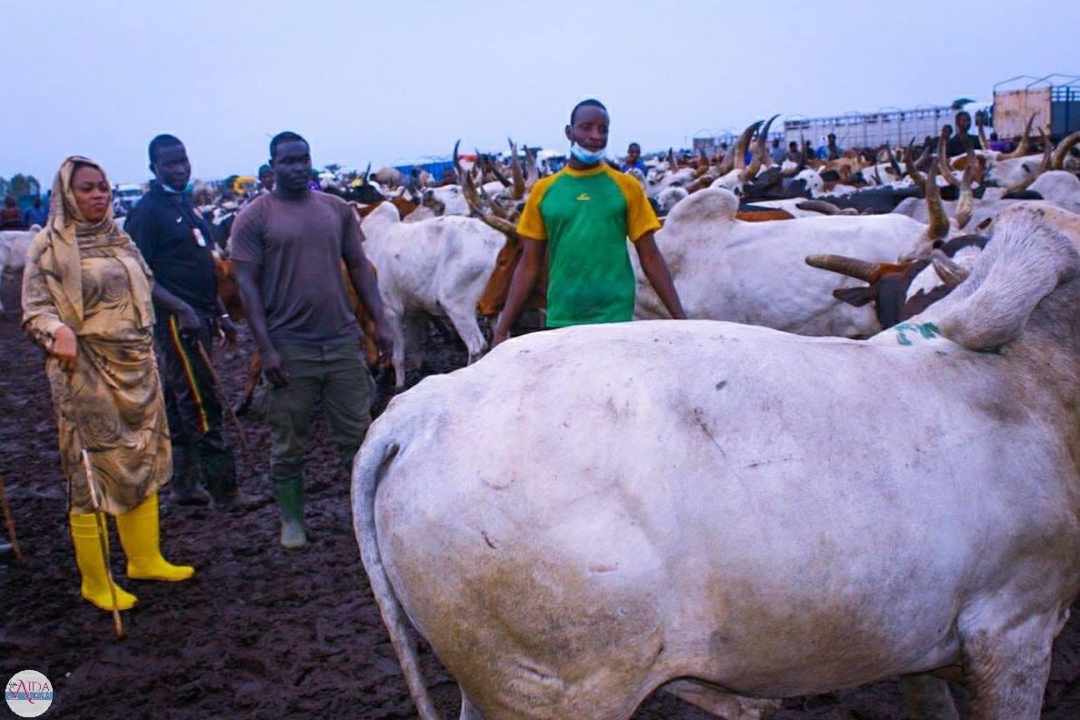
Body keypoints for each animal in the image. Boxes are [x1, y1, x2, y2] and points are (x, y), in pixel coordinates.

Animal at [358, 199, 501, 390]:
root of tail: (496, 242)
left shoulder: (390, 311)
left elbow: (398, 357)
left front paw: (399, 386)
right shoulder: (415, 310)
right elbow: (416, 347)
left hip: (457, 304)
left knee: (477, 346)